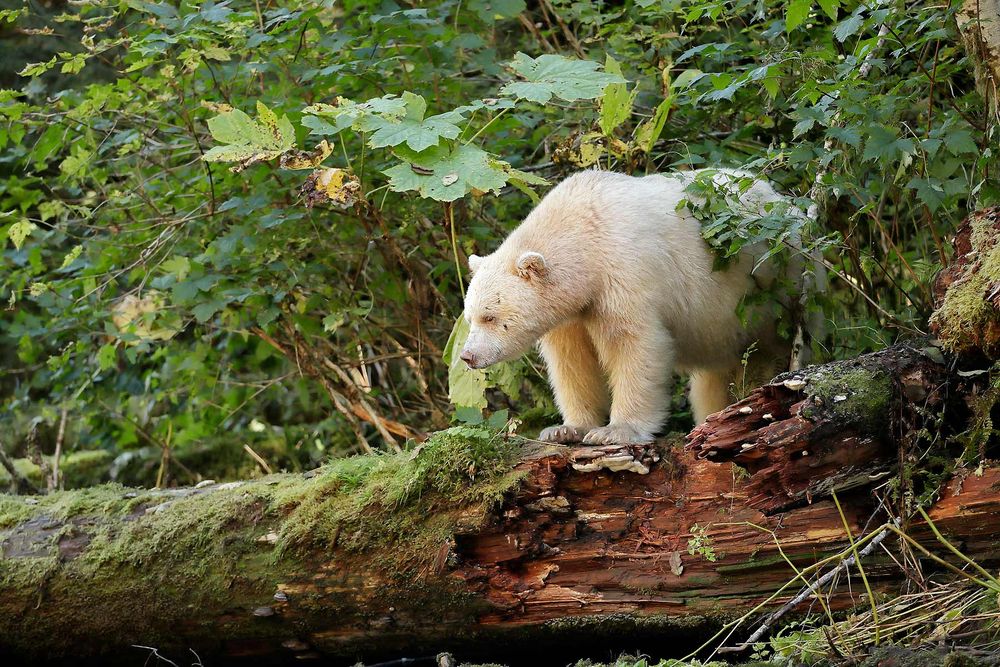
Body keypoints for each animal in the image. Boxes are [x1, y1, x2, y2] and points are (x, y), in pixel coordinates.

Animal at [459, 168, 804, 445]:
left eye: (490, 317)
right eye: (470, 317)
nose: (467, 356)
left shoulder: (624, 269)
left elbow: (634, 343)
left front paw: (614, 431)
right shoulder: (573, 312)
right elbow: (573, 360)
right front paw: (565, 429)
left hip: (778, 282)